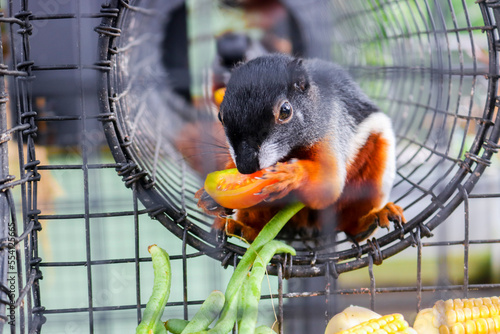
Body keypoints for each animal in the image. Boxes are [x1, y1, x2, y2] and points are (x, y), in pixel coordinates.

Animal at [192, 54, 406, 243]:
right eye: (220, 116)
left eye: (285, 111)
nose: (246, 167)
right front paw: (208, 197)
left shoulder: (331, 132)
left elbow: (330, 183)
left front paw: (289, 174)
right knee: (256, 228)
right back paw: (241, 228)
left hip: (376, 166)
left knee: (351, 226)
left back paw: (372, 220)